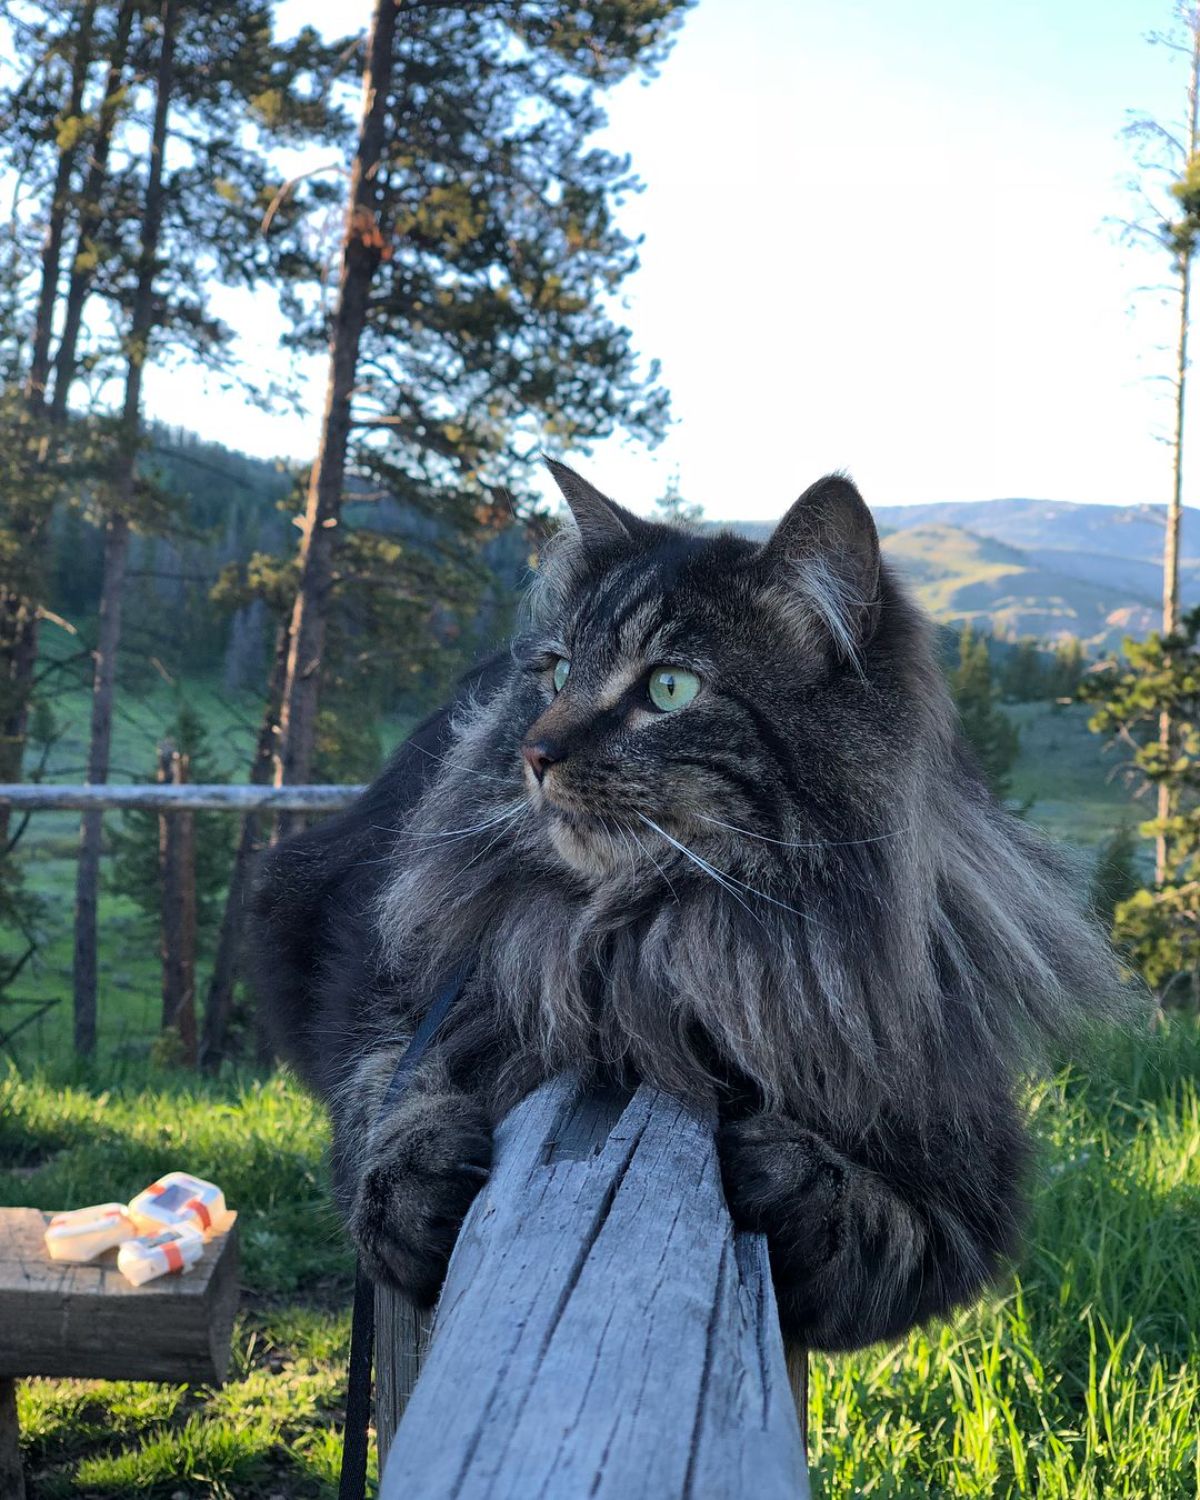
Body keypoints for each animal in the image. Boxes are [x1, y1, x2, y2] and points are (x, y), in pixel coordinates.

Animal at [253, 462, 1128, 1356]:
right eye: (558, 674)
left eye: (669, 689)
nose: (535, 752)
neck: (656, 937)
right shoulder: (385, 976)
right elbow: (386, 1086)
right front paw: (409, 1188)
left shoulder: (964, 1165)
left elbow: (882, 1226)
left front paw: (788, 1172)